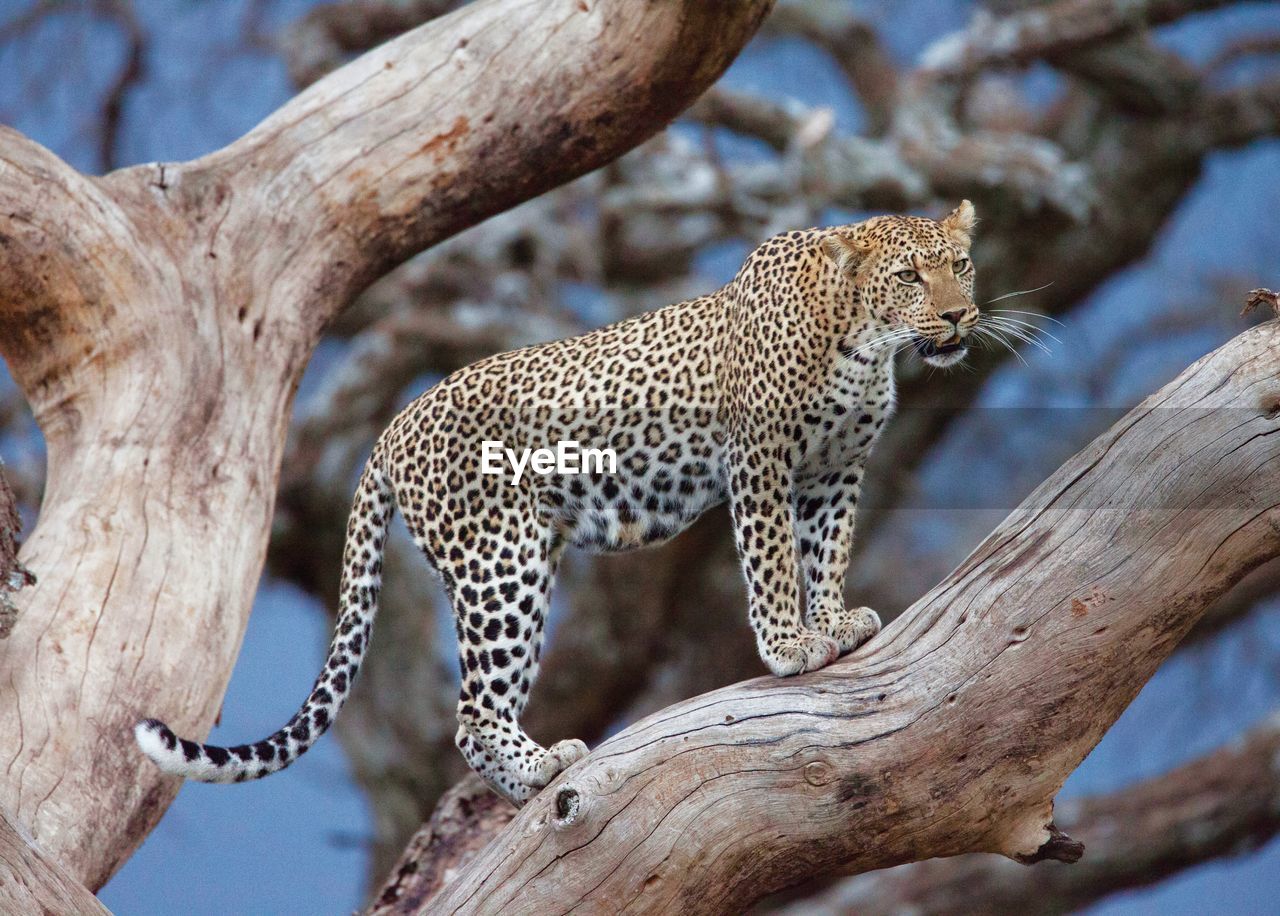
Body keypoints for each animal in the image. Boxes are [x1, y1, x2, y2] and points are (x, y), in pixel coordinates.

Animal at [135, 202, 977, 808]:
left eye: (961, 265)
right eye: (910, 276)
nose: (961, 317)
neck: (864, 341)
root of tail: (394, 426)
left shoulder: (835, 472)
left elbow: (826, 551)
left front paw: (834, 623)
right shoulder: (760, 462)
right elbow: (771, 558)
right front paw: (788, 646)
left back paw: (532, 776)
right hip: (500, 565)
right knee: (472, 713)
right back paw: (542, 771)